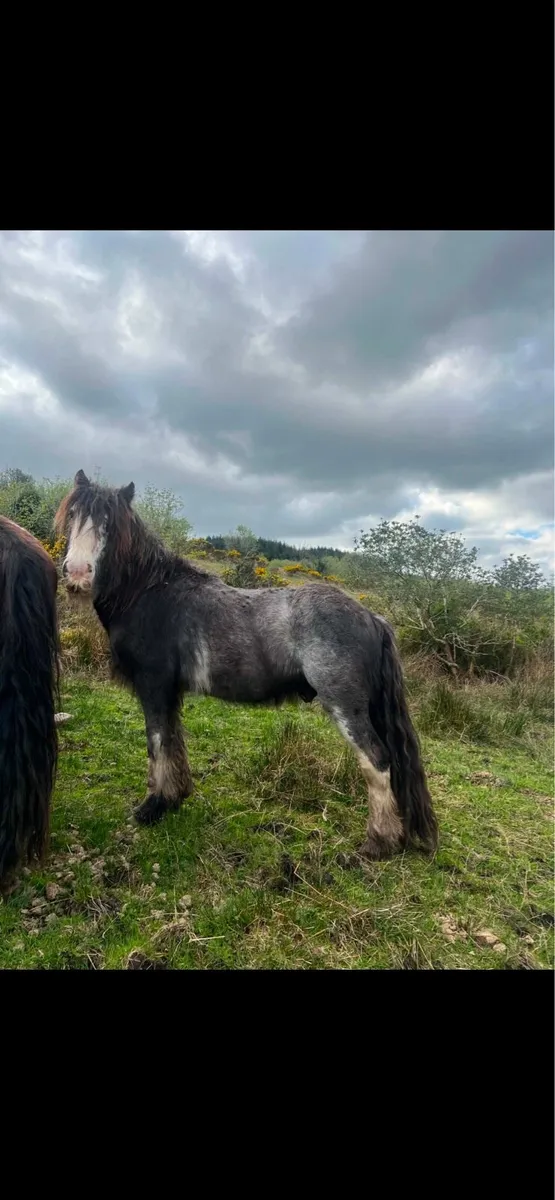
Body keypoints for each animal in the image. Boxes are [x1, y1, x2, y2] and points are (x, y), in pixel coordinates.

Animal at [56, 470, 438, 860]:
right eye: (73, 515)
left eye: (109, 522)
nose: (77, 574)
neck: (149, 593)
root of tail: (372, 617)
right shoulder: (170, 691)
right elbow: (174, 740)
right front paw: (175, 797)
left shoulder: (154, 686)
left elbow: (158, 742)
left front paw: (153, 806)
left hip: (346, 707)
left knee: (377, 762)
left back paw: (378, 842)